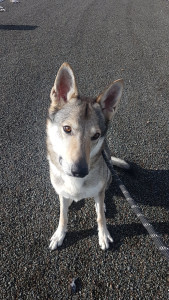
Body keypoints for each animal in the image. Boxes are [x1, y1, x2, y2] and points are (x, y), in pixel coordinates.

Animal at [46, 62, 129, 251]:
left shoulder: (99, 189)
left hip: (108, 176)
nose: (79, 171)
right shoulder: (61, 194)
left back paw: (102, 204)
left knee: (102, 194)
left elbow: (100, 217)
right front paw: (59, 235)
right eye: (67, 128)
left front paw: (103, 234)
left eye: (96, 135)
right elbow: (63, 216)